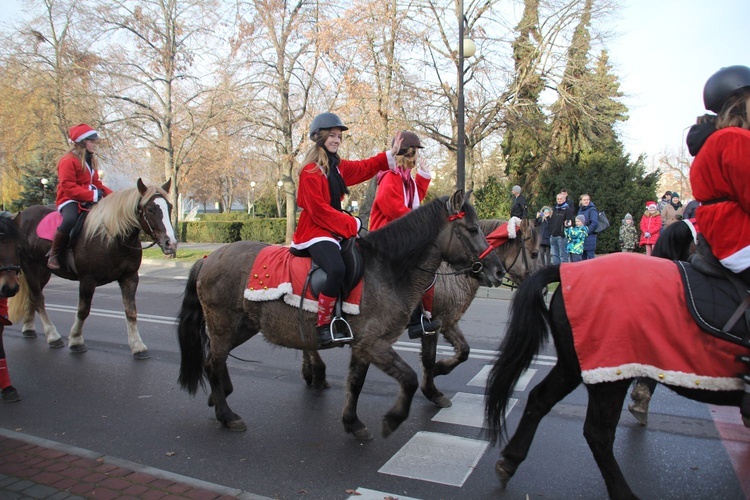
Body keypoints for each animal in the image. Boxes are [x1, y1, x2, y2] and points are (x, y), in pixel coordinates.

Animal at [9, 180, 177, 360]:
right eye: (150, 209)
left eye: (170, 207)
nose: (171, 243)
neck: (111, 238)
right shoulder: (87, 280)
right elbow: (83, 310)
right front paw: (76, 340)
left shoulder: (130, 277)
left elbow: (131, 312)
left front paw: (138, 346)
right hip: (29, 266)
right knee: (38, 298)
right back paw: (53, 336)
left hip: (43, 271)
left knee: (33, 296)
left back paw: (29, 328)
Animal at [300, 219, 540, 410]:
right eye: (535, 253)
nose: (542, 288)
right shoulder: (432, 324)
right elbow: (429, 358)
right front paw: (433, 388)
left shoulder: (448, 322)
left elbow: (464, 351)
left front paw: (440, 370)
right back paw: (318, 372)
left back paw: (310, 372)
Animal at [484, 256, 748, 498]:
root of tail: (567, 268)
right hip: (609, 377)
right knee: (597, 434)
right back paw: (623, 493)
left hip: (574, 366)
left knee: (540, 399)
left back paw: (510, 461)